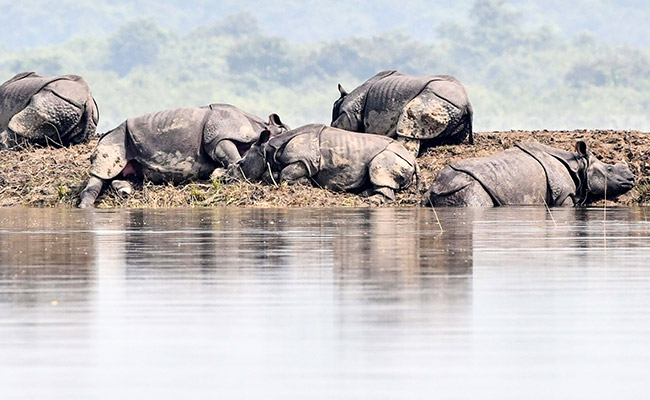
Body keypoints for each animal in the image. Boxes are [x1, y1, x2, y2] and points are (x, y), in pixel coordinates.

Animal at [78, 104, 288, 208]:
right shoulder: (218, 136)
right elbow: (229, 154)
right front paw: (229, 172)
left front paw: (220, 173)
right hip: (116, 136)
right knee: (104, 169)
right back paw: (85, 206)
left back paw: (124, 190)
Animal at [227, 124, 417, 202]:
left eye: (241, 164)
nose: (227, 179)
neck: (268, 150)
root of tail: (413, 160)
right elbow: (273, 174)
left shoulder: (304, 161)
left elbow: (286, 175)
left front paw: (306, 183)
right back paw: (365, 194)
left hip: (392, 156)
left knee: (379, 168)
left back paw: (373, 201)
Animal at [422, 141, 635, 207]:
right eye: (609, 169)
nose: (632, 179)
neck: (579, 166)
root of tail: (432, 188)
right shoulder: (563, 195)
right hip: (466, 187)